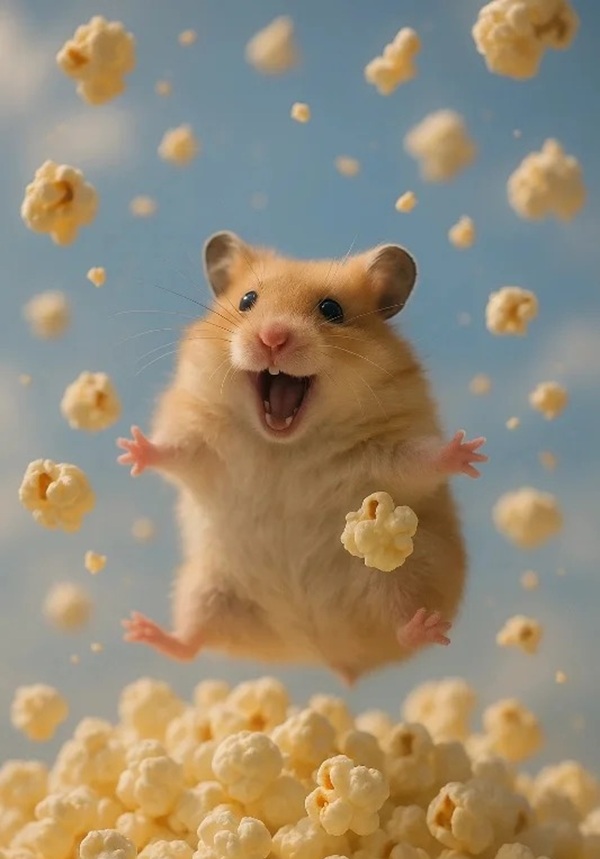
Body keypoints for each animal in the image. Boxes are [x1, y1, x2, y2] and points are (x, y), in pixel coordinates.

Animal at [118, 232, 487, 683]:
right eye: (247, 301)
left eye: (331, 310)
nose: (273, 338)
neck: (284, 447)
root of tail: (317, 652)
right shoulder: (202, 442)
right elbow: (172, 451)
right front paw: (130, 449)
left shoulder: (388, 448)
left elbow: (421, 459)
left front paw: (469, 451)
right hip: (205, 590)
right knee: (190, 641)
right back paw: (140, 630)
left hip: (406, 577)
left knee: (399, 629)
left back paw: (425, 627)